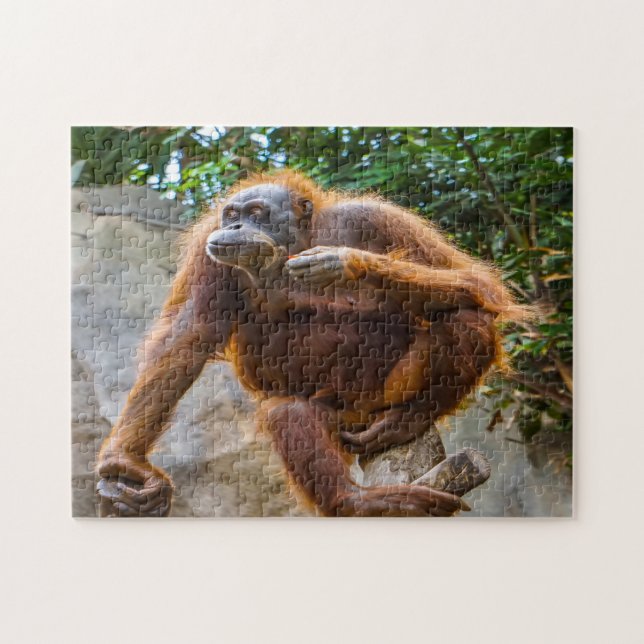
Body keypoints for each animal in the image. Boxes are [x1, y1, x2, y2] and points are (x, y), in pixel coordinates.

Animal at [96, 171, 524, 517]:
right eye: (231, 215)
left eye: (256, 213)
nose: (235, 228)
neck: (297, 243)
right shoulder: (209, 251)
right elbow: (188, 335)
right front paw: (124, 463)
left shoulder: (373, 217)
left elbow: (478, 283)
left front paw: (347, 264)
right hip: (336, 415)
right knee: (286, 410)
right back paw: (355, 502)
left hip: (385, 393)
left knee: (467, 316)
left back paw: (413, 416)